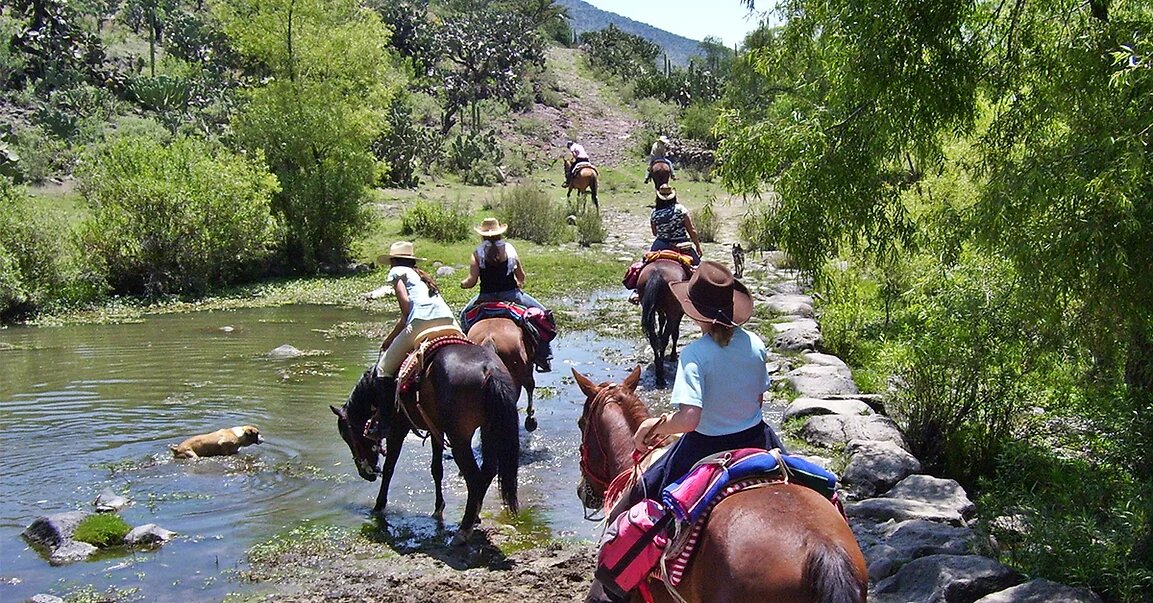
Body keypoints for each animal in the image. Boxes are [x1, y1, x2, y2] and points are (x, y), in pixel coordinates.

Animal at [329, 343, 518, 546]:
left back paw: (464, 529)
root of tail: (488, 369)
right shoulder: (435, 430)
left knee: (475, 478)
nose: (367, 474)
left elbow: (389, 468)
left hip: (460, 440)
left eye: (346, 435)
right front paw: (438, 507)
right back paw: (474, 515)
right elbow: (436, 469)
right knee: (488, 471)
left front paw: (379, 506)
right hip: (488, 430)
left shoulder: (397, 430)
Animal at [641, 258, 682, 387]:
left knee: (653, 339)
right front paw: (673, 355)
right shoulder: (678, 312)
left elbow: (661, 320)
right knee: (665, 339)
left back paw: (658, 371)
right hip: (673, 311)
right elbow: (675, 333)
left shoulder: (659, 309)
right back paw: (661, 377)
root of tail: (657, 273)